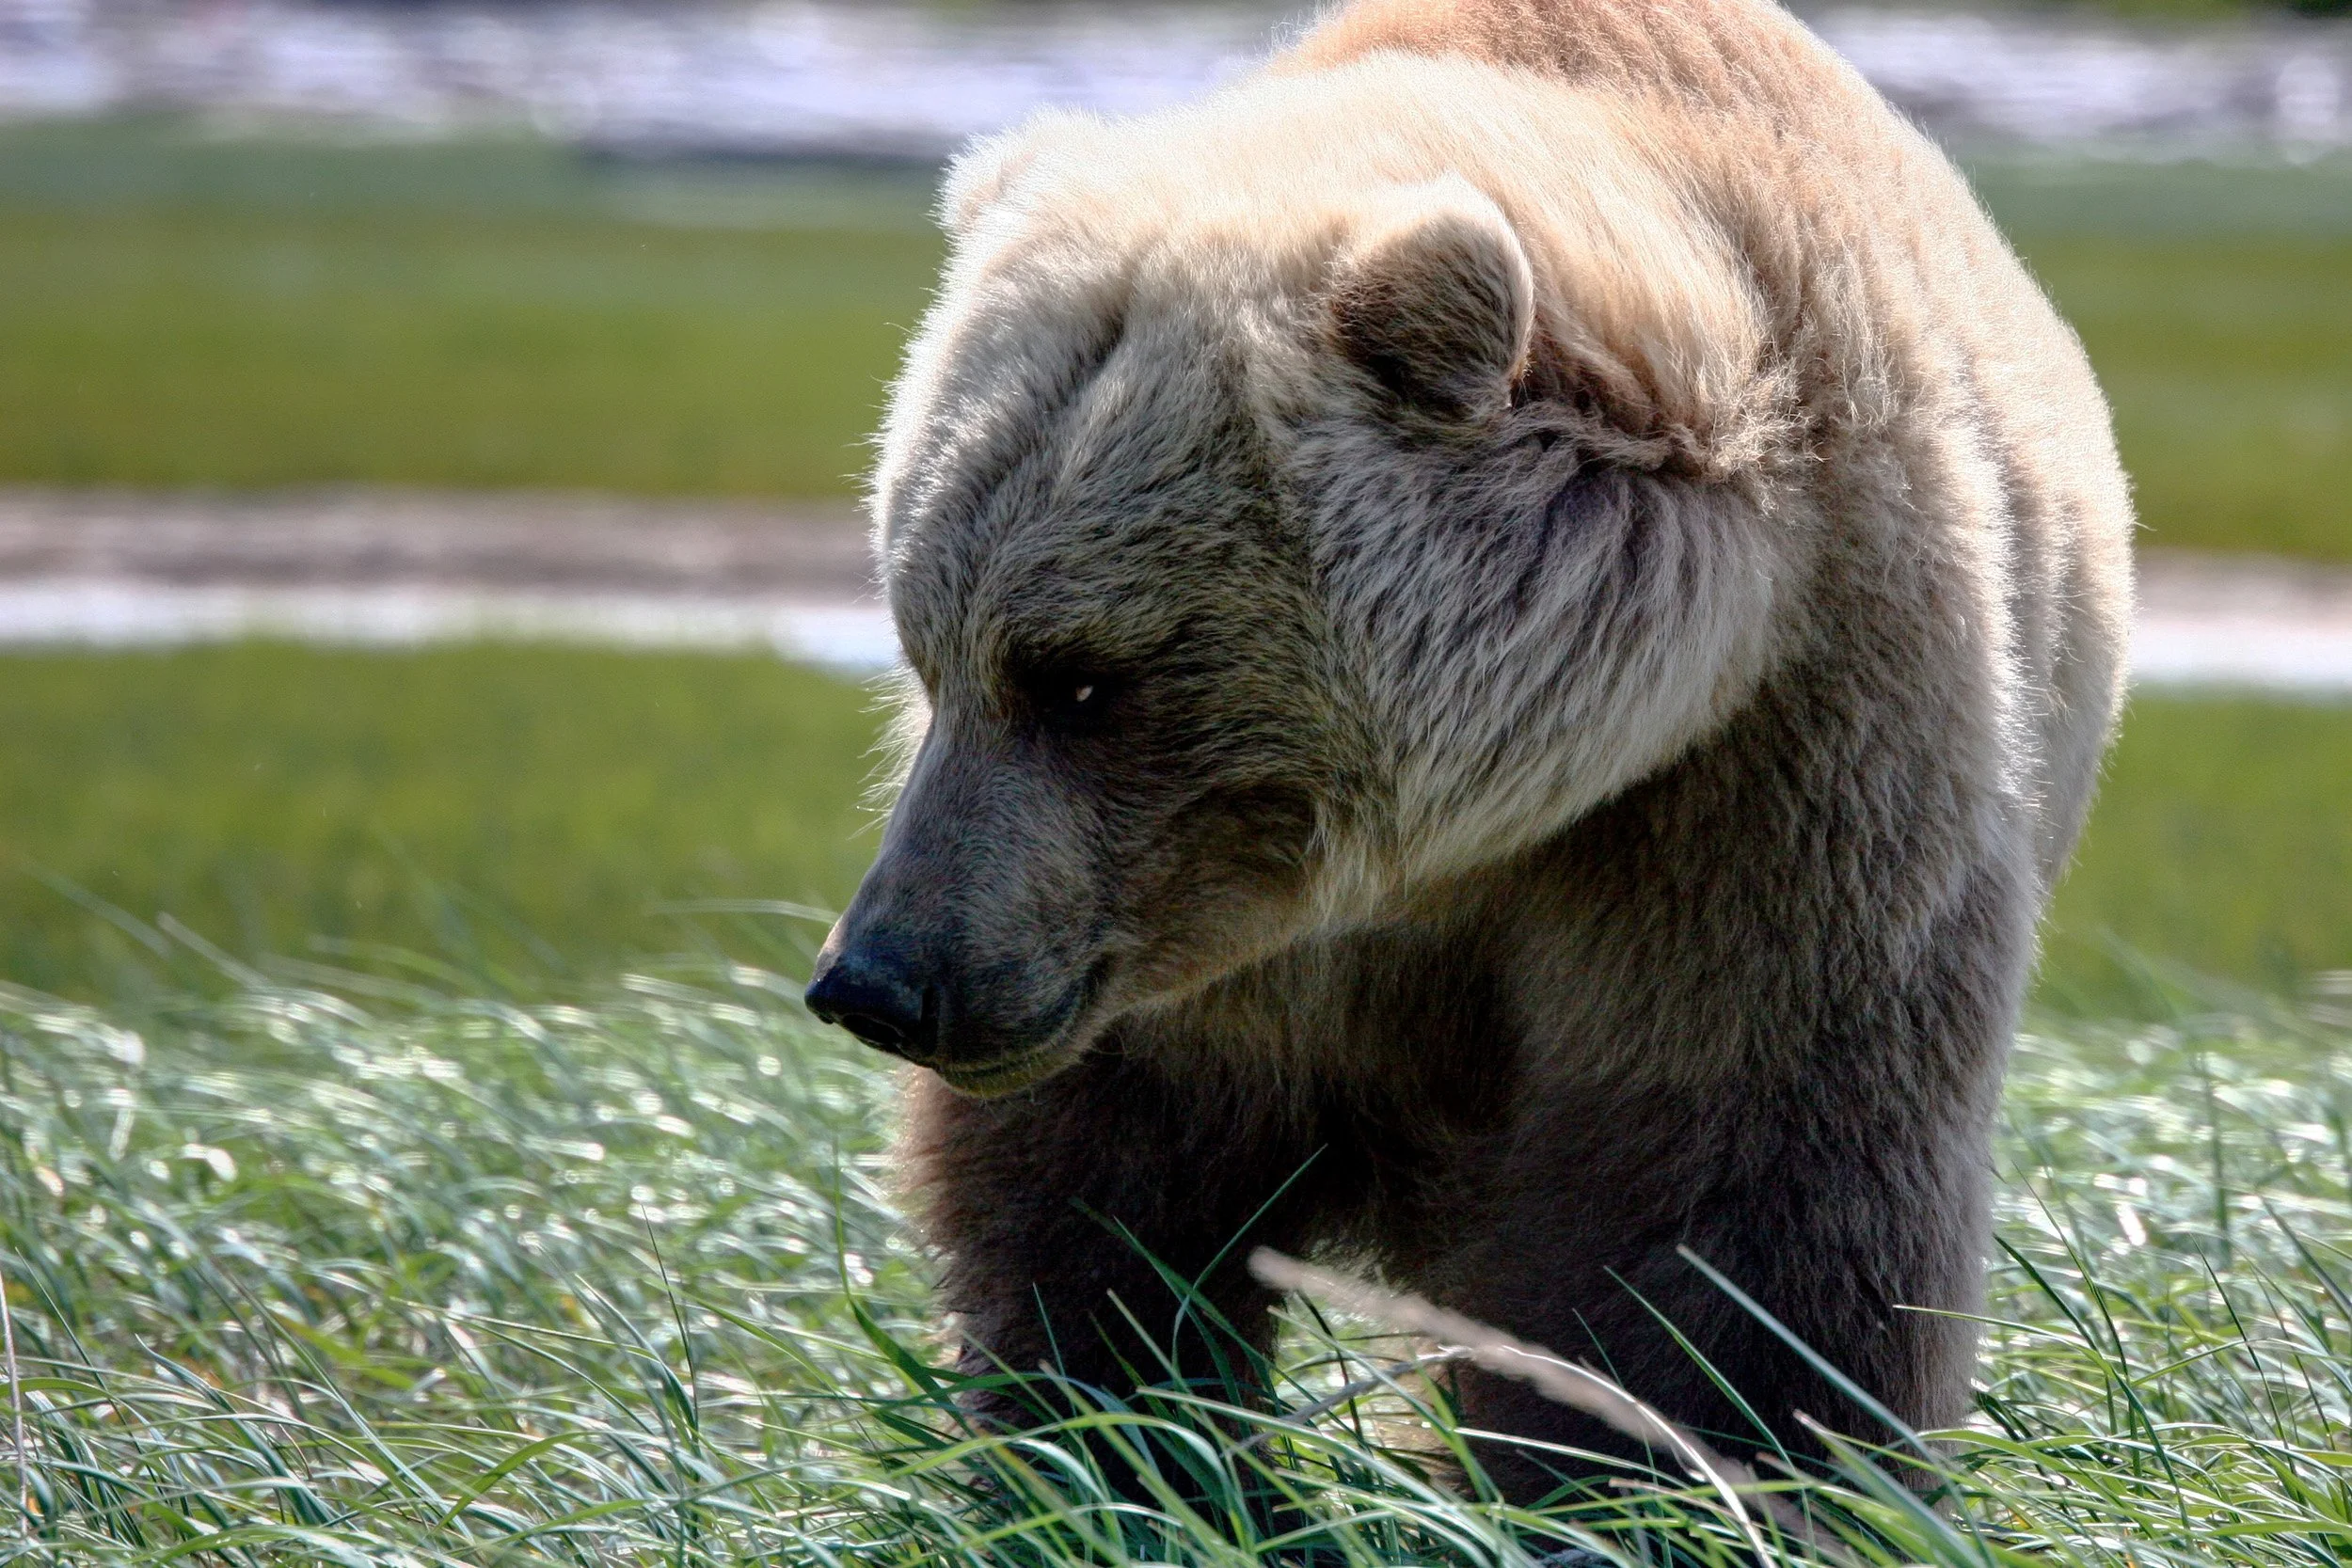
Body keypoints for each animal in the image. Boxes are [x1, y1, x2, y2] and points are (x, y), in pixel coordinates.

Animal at [803, 0, 2134, 1501]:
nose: (877, 978)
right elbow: (1105, 1184)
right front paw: (1111, 1448)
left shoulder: (1773, 773)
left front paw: (1668, 1478)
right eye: (930, 651)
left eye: (1082, 677)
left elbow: (1736, 1197)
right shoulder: (1185, 938)